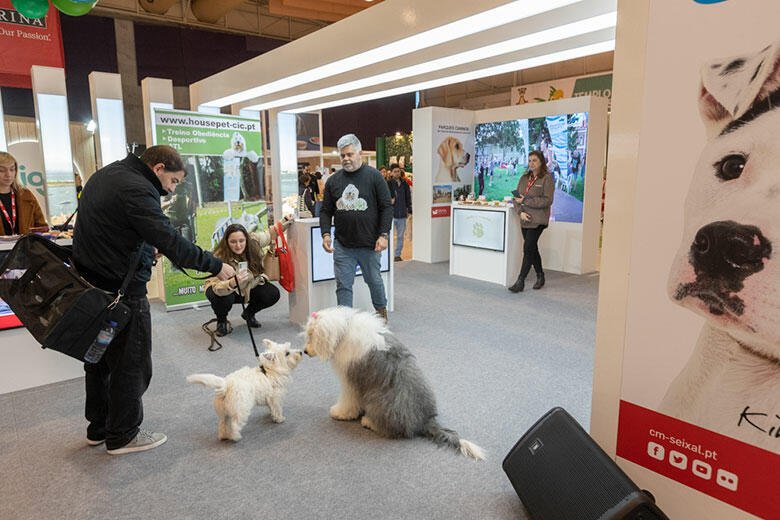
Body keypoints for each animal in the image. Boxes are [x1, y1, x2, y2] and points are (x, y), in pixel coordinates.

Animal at [302, 306, 484, 462]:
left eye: (312, 335)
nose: (304, 351)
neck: (345, 330)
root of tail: (425, 420)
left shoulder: (350, 380)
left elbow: (348, 400)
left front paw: (339, 413)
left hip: (379, 400)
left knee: (390, 429)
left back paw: (369, 422)